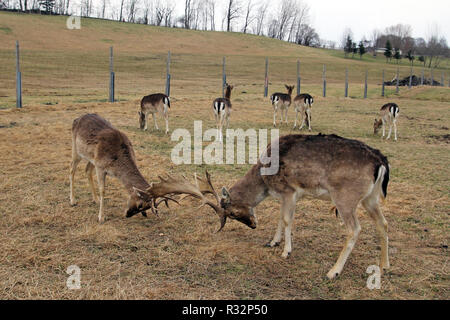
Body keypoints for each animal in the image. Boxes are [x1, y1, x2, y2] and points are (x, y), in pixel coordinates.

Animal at [146, 134, 392, 278]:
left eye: (232, 213)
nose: (253, 225)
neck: (264, 179)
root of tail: (381, 162)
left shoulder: (290, 190)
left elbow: (287, 219)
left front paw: (286, 251)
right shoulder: (285, 196)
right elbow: (280, 219)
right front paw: (272, 242)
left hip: (345, 197)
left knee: (355, 229)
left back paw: (333, 271)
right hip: (371, 198)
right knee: (383, 223)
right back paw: (384, 266)